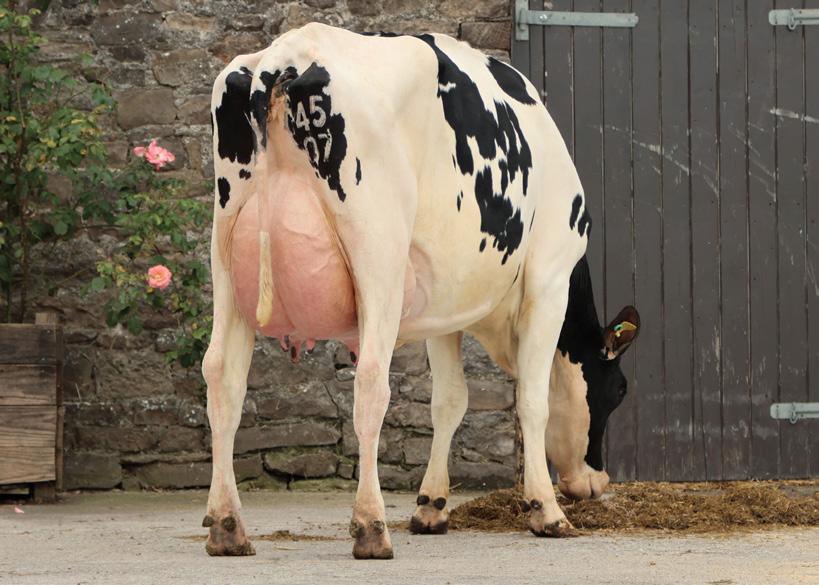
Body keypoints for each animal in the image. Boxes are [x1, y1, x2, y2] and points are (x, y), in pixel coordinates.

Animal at [203, 22, 640, 560]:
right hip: (378, 258)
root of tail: (286, 54)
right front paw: (546, 510)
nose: (597, 483)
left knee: (222, 377)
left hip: (226, 258)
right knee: (371, 381)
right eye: (617, 389)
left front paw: (431, 506)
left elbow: (449, 401)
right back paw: (370, 526)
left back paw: (227, 526)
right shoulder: (548, 278)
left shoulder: (442, 306)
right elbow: (532, 401)